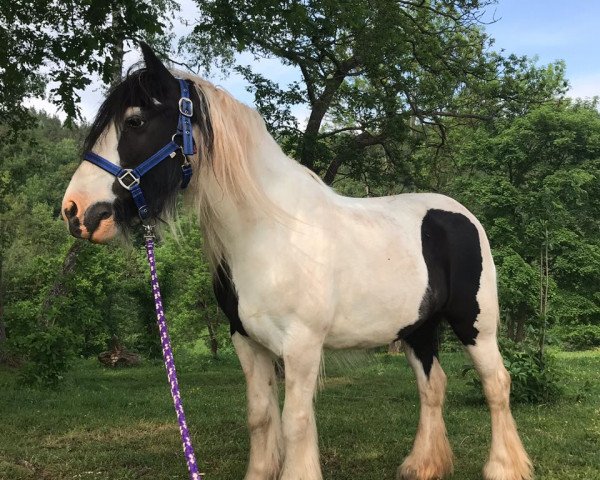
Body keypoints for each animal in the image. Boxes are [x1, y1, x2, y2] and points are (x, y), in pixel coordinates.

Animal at [61, 42, 532, 480]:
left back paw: (504, 467)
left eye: (135, 121)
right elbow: (260, 417)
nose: (76, 211)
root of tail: (462, 216)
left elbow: (295, 422)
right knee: (433, 387)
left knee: (497, 385)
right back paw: (423, 465)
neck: (269, 234)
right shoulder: (246, 342)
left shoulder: (302, 345)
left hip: (476, 325)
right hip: (418, 329)